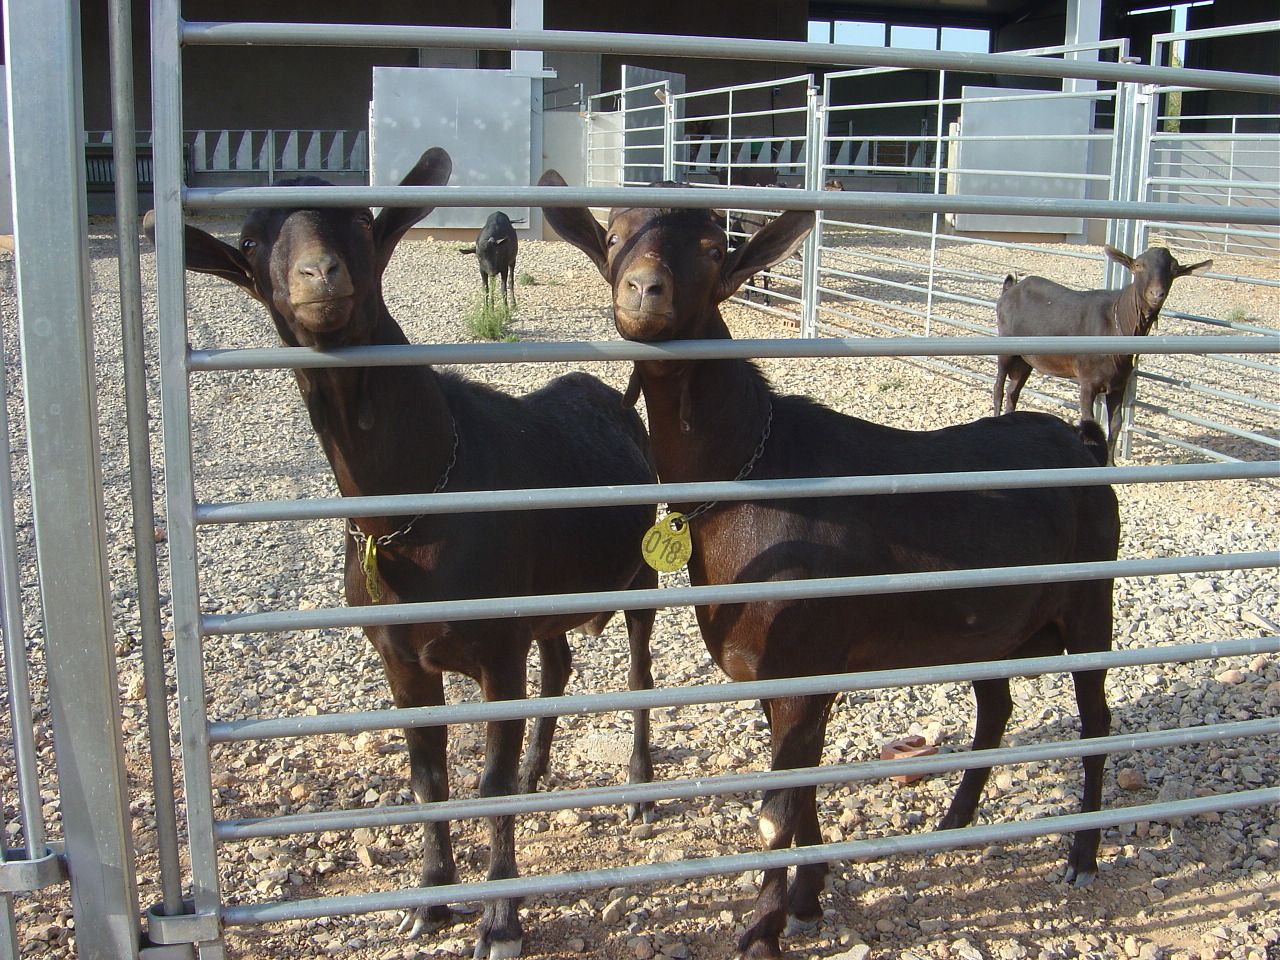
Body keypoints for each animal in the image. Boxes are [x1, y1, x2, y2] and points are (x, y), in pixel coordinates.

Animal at [152, 146, 660, 957]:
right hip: (550, 601)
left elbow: (486, 784)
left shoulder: (496, 651)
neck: (415, 499)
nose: (320, 275)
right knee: (559, 663)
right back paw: (540, 768)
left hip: (640, 571)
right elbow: (428, 781)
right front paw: (430, 898)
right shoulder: (401, 658)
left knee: (640, 670)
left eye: (362, 221)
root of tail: (616, 399)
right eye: (253, 242)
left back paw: (640, 789)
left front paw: (500, 921)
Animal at [542, 175, 1121, 960]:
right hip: (996, 626)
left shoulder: (803, 653)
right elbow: (803, 788)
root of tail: (1084, 443)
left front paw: (763, 929)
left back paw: (1082, 857)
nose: (644, 290)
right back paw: (955, 819)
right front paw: (808, 899)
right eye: (611, 237)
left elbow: (775, 812)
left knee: (1097, 721)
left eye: (715, 247)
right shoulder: (781, 672)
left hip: (1092, 599)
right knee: (996, 706)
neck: (751, 472)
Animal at [993, 245, 1213, 460]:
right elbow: (1089, 420)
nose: (1156, 294)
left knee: (1013, 390)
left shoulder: (1118, 384)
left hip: (1025, 359)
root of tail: (1010, 289)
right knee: (999, 388)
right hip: (1005, 348)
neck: (1116, 323)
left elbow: (1115, 423)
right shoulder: (1088, 382)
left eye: (1174, 268)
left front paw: (1110, 462)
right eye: (1138, 265)